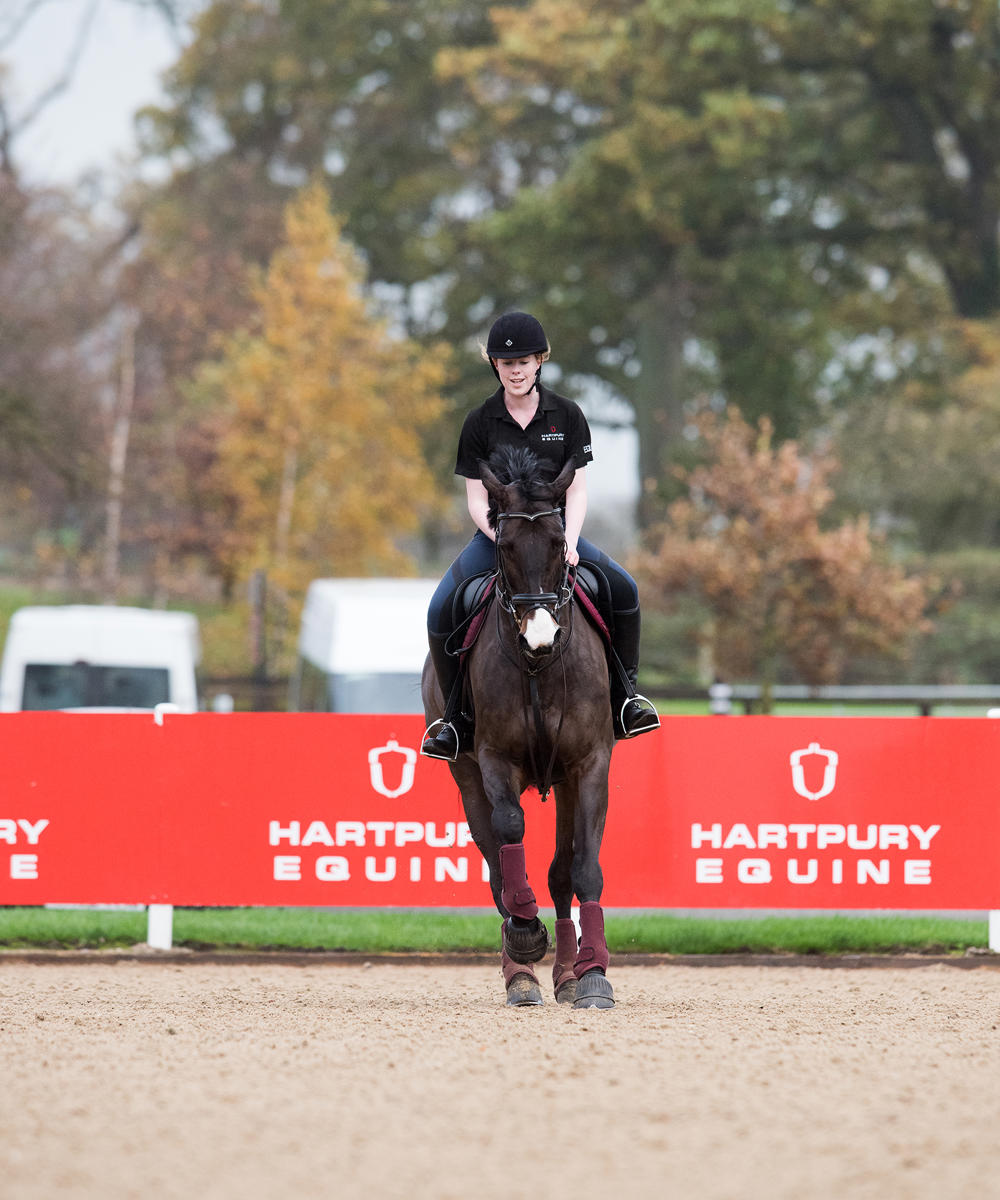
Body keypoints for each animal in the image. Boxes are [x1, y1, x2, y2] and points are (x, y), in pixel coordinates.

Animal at [420, 446, 614, 1008]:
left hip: (564, 783)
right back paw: (521, 973)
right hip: (466, 779)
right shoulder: (493, 761)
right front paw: (527, 937)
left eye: (558, 542)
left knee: (559, 874)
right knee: (496, 871)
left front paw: (594, 976)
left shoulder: (589, 764)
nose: (540, 635)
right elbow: (510, 836)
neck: (539, 667)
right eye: (504, 546)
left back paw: (568, 976)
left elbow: (582, 868)